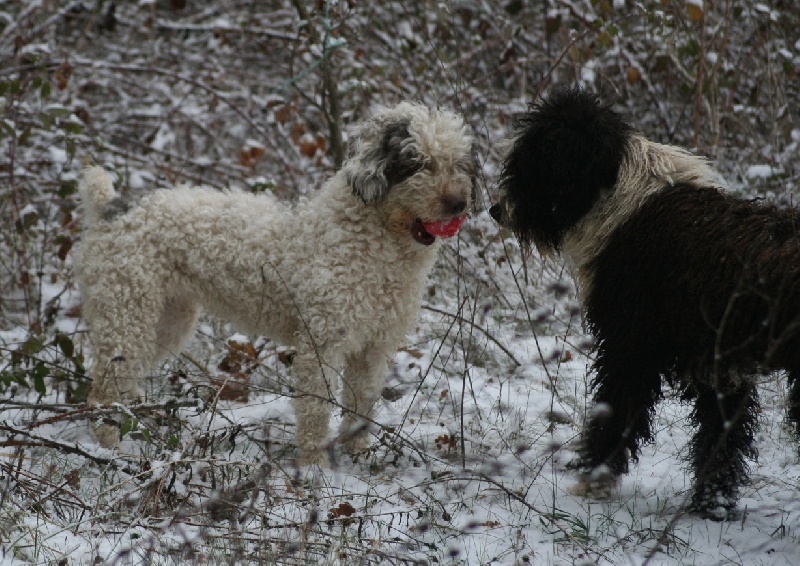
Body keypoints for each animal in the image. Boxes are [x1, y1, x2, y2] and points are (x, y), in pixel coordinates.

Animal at [75, 102, 479, 466]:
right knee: (102, 390)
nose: (458, 204)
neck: (372, 242)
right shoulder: (322, 343)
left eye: (458, 164)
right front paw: (315, 468)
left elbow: (360, 406)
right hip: (127, 312)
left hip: (168, 320)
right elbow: (316, 408)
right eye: (418, 164)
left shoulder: (373, 348)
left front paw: (359, 456)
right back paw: (111, 448)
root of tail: (113, 208)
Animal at [490, 86, 800, 518]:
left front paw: (594, 482)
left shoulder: (630, 347)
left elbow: (618, 412)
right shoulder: (717, 366)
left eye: (530, 164)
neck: (622, 204)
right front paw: (713, 504)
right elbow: (720, 438)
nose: (495, 210)